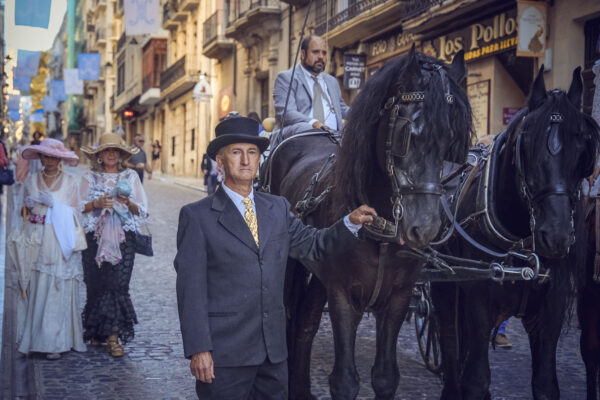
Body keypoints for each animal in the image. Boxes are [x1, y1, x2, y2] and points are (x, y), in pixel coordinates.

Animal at [262, 48, 474, 398]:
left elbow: (385, 377)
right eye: (406, 135)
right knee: (289, 312)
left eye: (452, 140)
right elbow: (345, 381)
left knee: (305, 320)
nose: (425, 227)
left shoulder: (398, 296)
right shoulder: (342, 293)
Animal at [432, 66, 600, 400]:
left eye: (582, 147)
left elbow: (546, 384)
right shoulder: (477, 298)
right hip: (445, 287)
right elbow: (476, 380)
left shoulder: (551, 307)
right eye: (528, 145)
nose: (556, 237)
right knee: (451, 348)